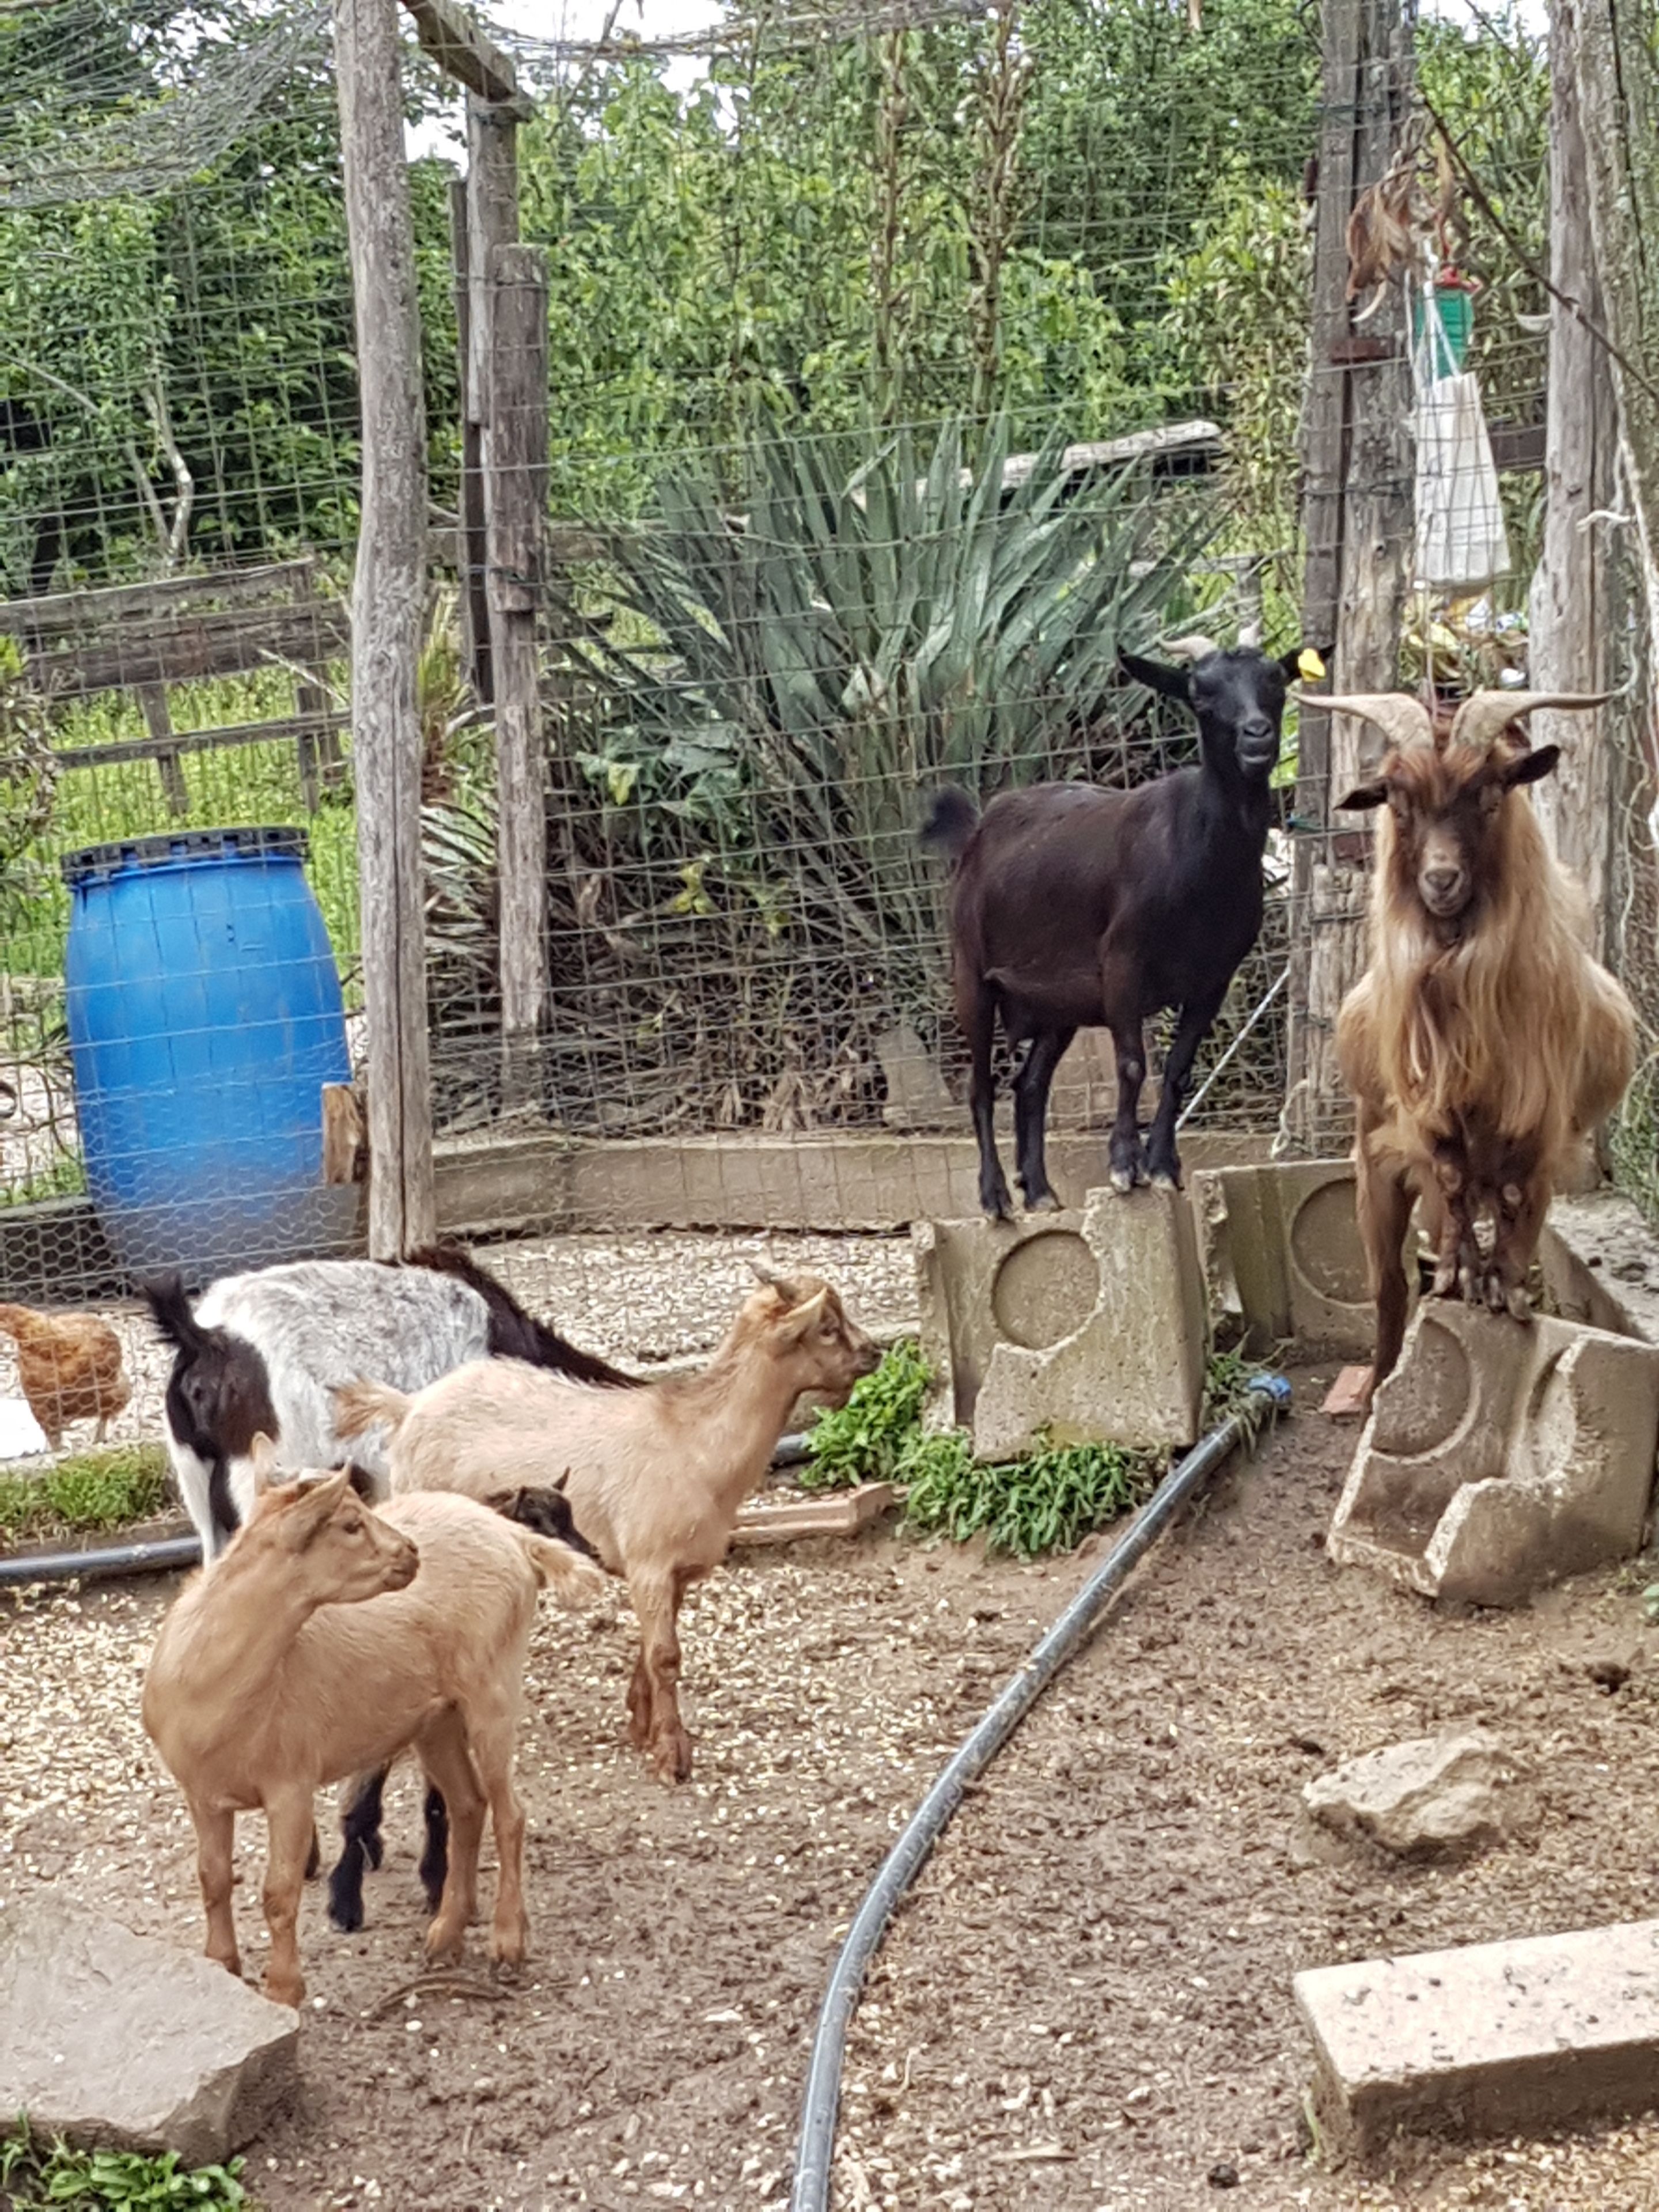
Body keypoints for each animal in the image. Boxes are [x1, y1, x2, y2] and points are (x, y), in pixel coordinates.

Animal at [141, 1448, 606, 2007]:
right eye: (349, 1524)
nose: (410, 1553)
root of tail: (511, 1534)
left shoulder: (290, 1783)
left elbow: (279, 1892)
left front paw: (284, 1988)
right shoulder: (202, 1793)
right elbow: (212, 1878)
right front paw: (223, 1966)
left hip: (493, 1687)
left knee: (509, 1813)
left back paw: (507, 1941)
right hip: (436, 1717)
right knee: (468, 1804)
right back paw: (446, 1934)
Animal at [325, 1264, 878, 1920]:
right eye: (827, 1327)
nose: (874, 1353)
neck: (697, 1444)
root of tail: (409, 1404)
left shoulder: (671, 1571)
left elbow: (651, 1651)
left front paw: (641, 1726)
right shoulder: (648, 1561)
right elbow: (666, 1657)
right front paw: (672, 1757)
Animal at [923, 635, 1318, 1217]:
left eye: (1275, 680)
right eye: (1200, 695)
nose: (1258, 736)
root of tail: (975, 831)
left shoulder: (1214, 978)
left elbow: (1177, 1069)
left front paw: (1164, 1166)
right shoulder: (1124, 963)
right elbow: (1132, 1065)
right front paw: (1125, 1167)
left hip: (1057, 1003)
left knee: (1030, 1084)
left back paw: (1040, 1191)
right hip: (971, 971)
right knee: (981, 1087)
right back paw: (996, 1198)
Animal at [1321, 688, 1638, 1402]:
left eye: (1491, 792)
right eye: (1397, 800)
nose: (1440, 880)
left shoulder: (1541, 1125)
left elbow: (1518, 1200)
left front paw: (1508, 1291)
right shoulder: (1427, 1119)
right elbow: (1449, 1181)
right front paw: (1459, 1276)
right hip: (1372, 1159)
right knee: (1389, 1283)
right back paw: (1379, 1380)